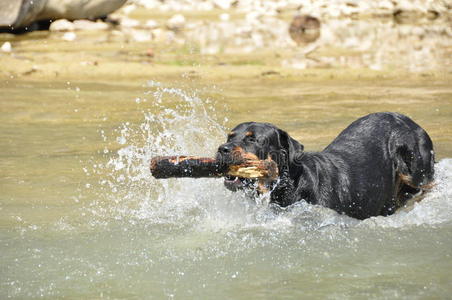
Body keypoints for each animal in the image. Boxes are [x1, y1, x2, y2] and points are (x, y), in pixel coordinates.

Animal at [217, 112, 436, 220]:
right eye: (230, 137)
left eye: (253, 140)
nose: (222, 148)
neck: (289, 186)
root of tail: (412, 122)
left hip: (415, 165)